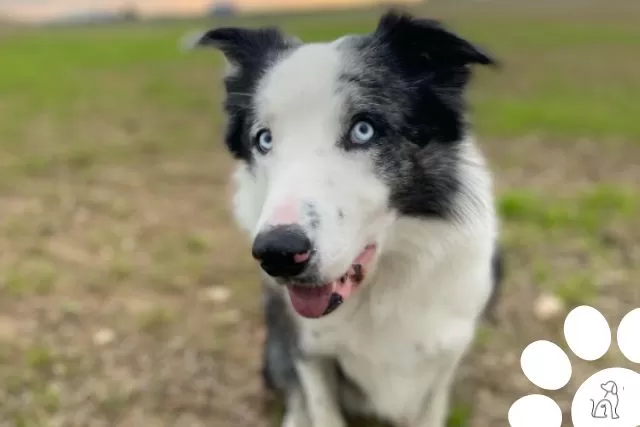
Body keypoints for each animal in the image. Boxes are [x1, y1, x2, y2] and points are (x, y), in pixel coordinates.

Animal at [188, 10, 502, 427]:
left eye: (363, 129)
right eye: (264, 139)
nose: (278, 253)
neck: (377, 291)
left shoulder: (443, 359)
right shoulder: (308, 351)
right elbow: (319, 406)